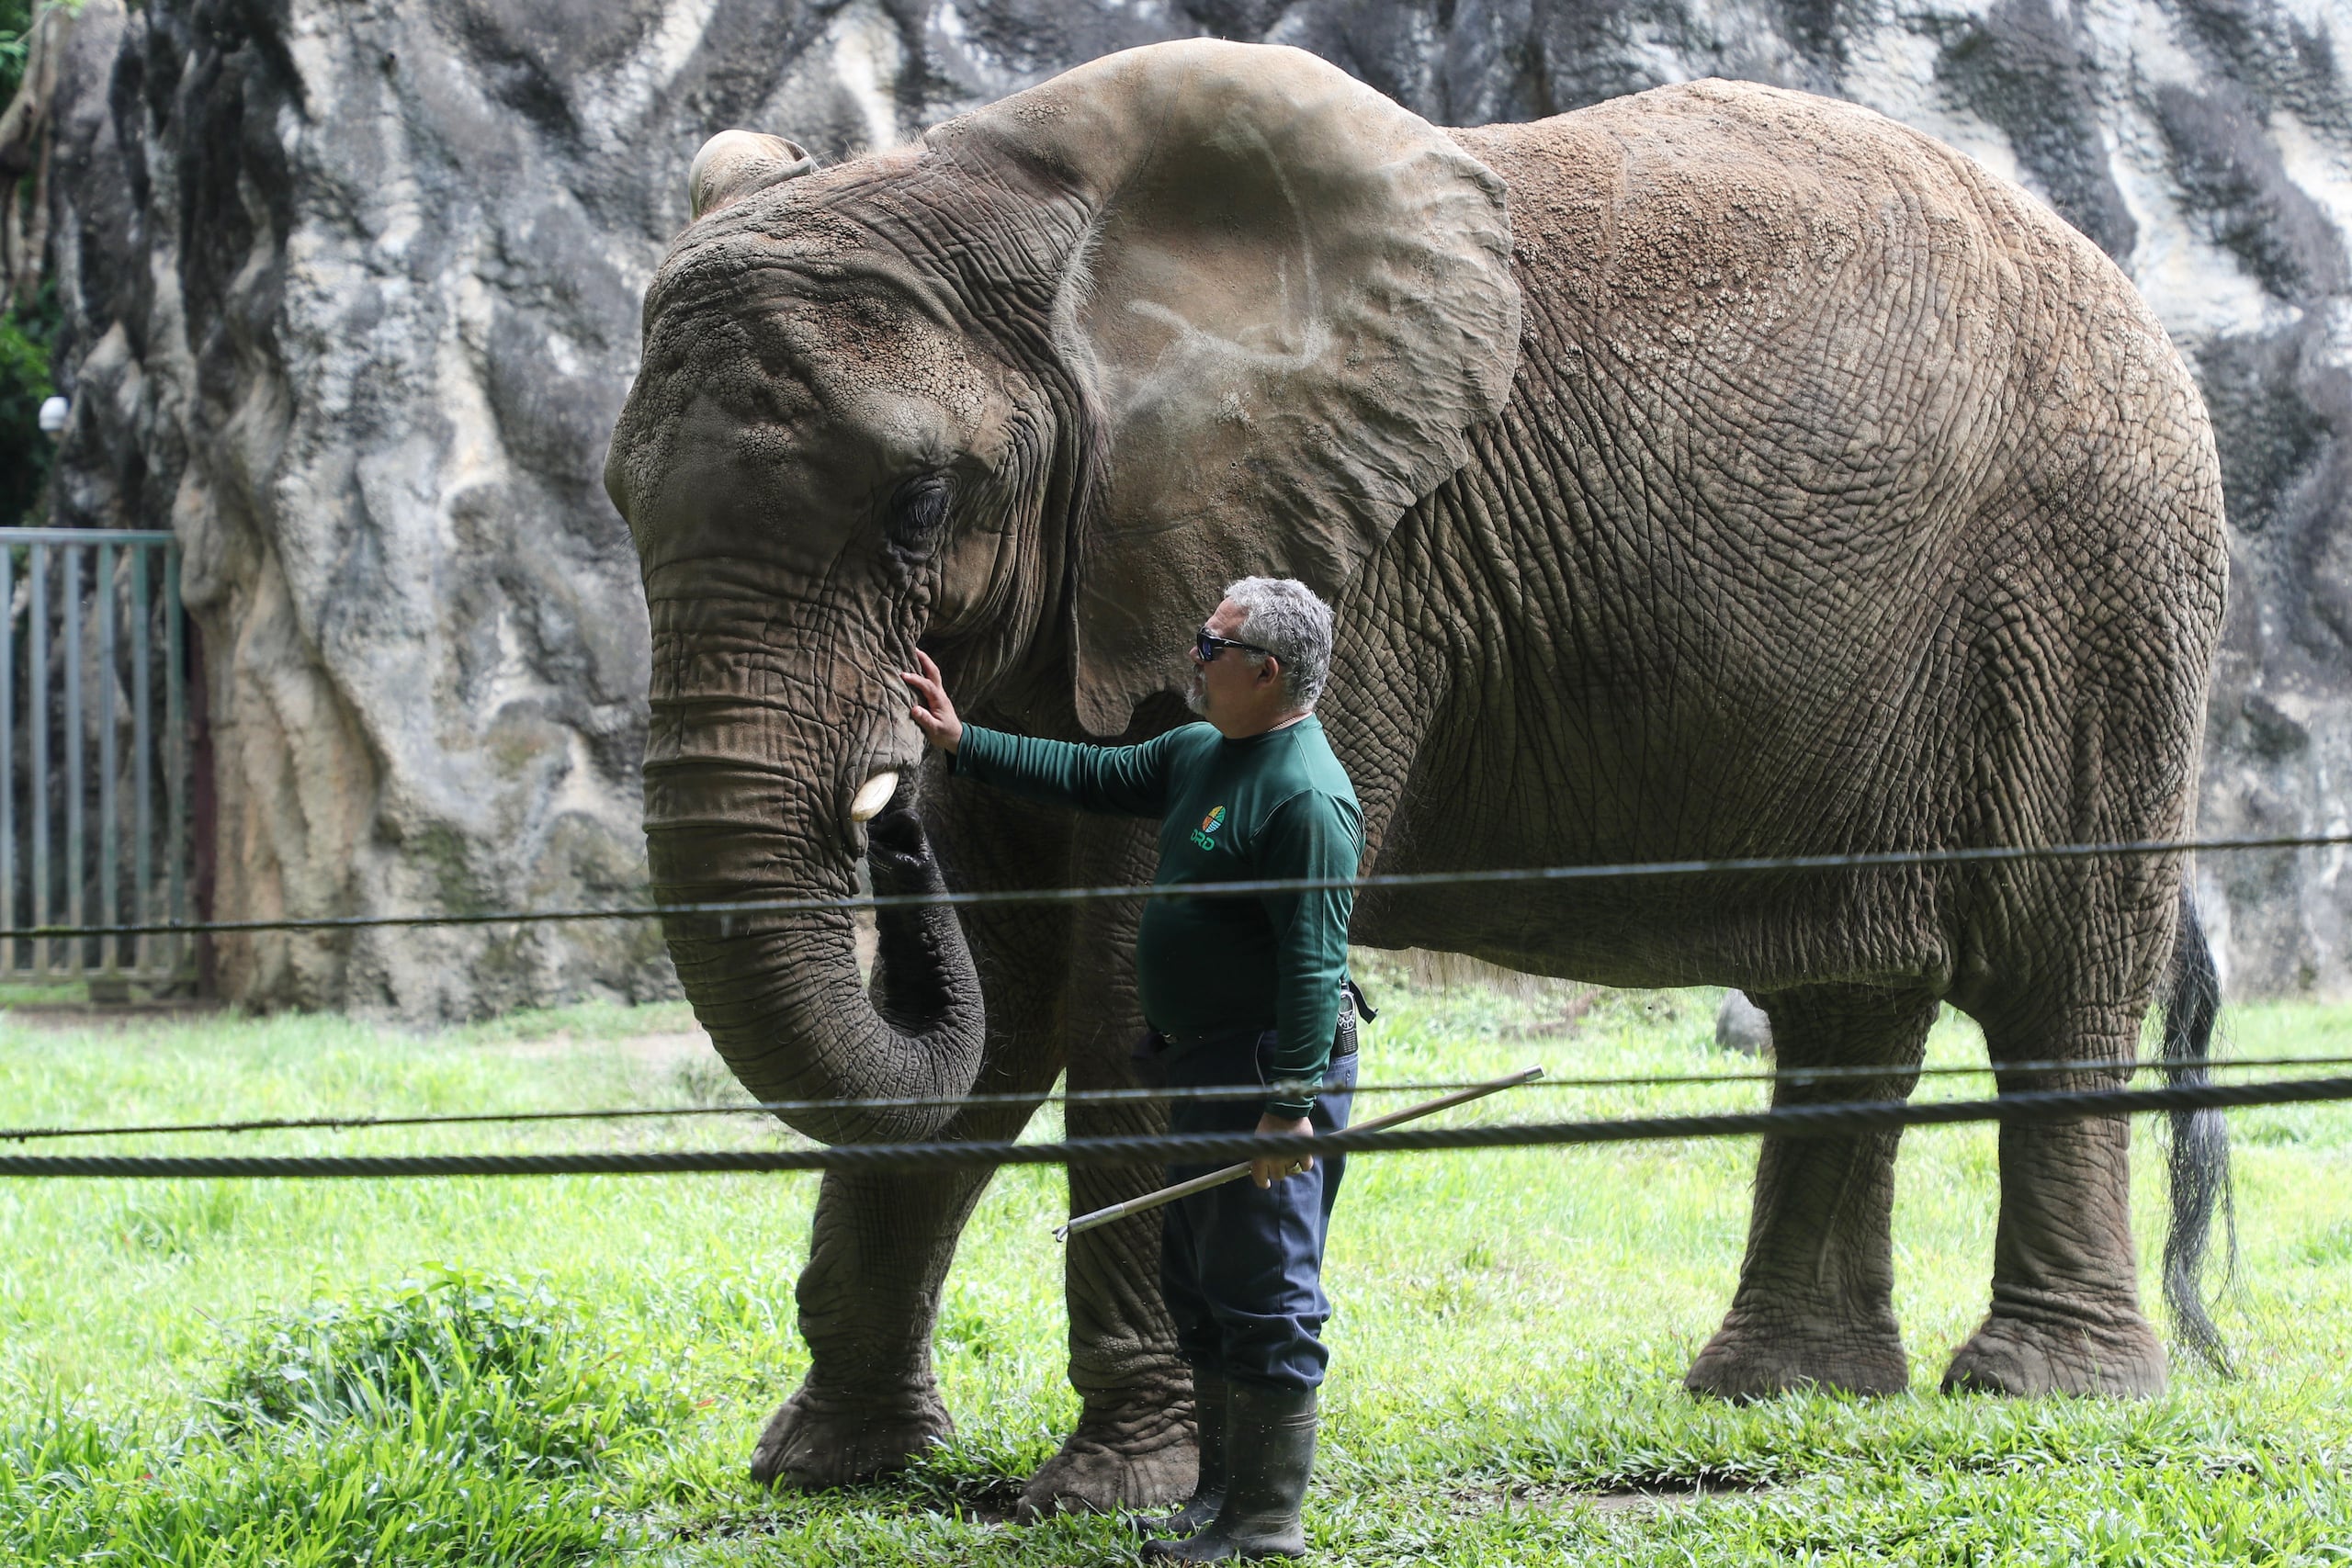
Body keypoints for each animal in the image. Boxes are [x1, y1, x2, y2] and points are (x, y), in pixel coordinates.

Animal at [602, 39, 2220, 1523]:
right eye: (619, 498)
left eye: (920, 502)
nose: (889, 776)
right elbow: (996, 990)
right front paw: (829, 1469)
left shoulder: (1341, 555)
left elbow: (1129, 977)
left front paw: (1113, 1490)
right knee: (1851, 998)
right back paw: (1784, 1389)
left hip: (2097, 593)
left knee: (2057, 979)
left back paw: (2043, 1388)